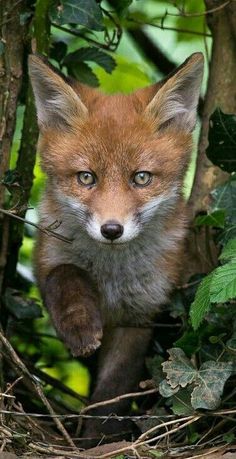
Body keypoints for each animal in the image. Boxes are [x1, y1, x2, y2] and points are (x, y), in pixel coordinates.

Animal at [29, 52, 203, 444]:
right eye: (86, 178)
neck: (111, 276)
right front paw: (79, 322)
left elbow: (114, 389)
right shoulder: (46, 258)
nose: (111, 230)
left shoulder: (139, 316)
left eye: (141, 178)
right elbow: (63, 274)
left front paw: (99, 439)